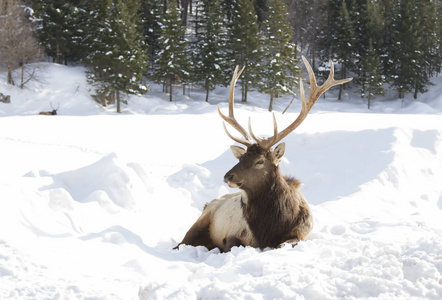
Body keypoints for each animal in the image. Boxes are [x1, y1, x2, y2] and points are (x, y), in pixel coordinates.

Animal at [174, 55, 350, 251]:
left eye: (259, 161)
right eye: (241, 158)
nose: (227, 176)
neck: (270, 228)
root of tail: (207, 203)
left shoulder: (302, 233)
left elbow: (284, 244)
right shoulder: (235, 234)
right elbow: (232, 245)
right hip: (200, 222)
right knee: (180, 244)